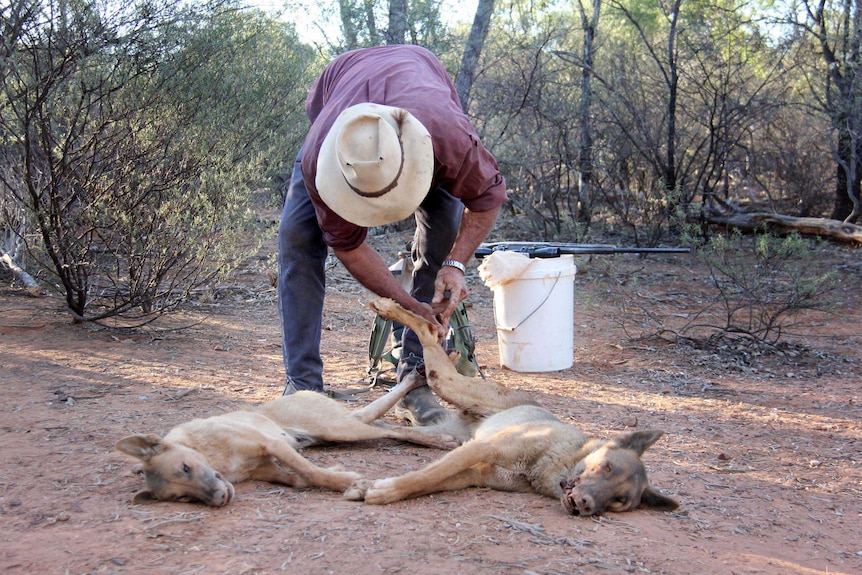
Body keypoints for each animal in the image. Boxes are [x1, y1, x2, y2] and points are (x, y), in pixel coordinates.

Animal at [120, 378, 466, 508]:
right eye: (181, 498)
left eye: (186, 467)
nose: (219, 498)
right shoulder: (267, 468)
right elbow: (300, 479)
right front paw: (344, 477)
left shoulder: (272, 445)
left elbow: (312, 472)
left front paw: (349, 482)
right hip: (336, 432)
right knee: (382, 424)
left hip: (338, 429)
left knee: (395, 432)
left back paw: (440, 438)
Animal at [346, 300, 680, 520]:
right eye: (607, 467)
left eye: (619, 500)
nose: (586, 503)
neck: (555, 462)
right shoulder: (483, 448)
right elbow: (425, 477)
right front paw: (383, 491)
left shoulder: (475, 471)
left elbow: (428, 479)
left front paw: (372, 487)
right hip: (450, 386)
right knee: (428, 330)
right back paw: (389, 308)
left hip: (451, 433)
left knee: (387, 427)